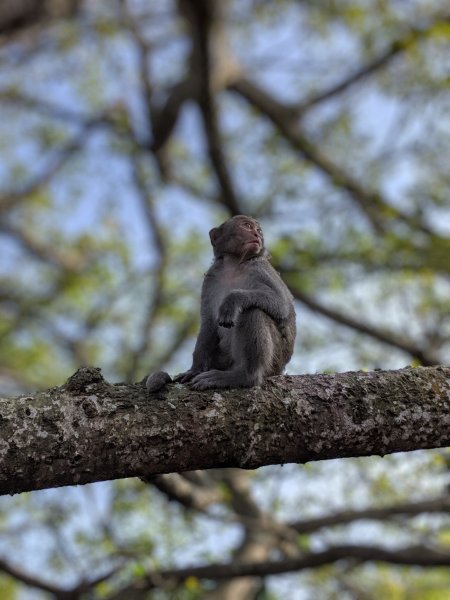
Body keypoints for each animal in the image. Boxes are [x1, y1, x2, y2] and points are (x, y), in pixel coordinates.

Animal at [146, 213, 298, 392]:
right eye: (247, 226)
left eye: (259, 230)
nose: (257, 235)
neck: (234, 264)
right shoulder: (212, 277)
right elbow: (209, 322)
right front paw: (195, 369)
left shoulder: (260, 267)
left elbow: (282, 304)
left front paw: (232, 300)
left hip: (275, 360)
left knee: (252, 311)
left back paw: (243, 376)